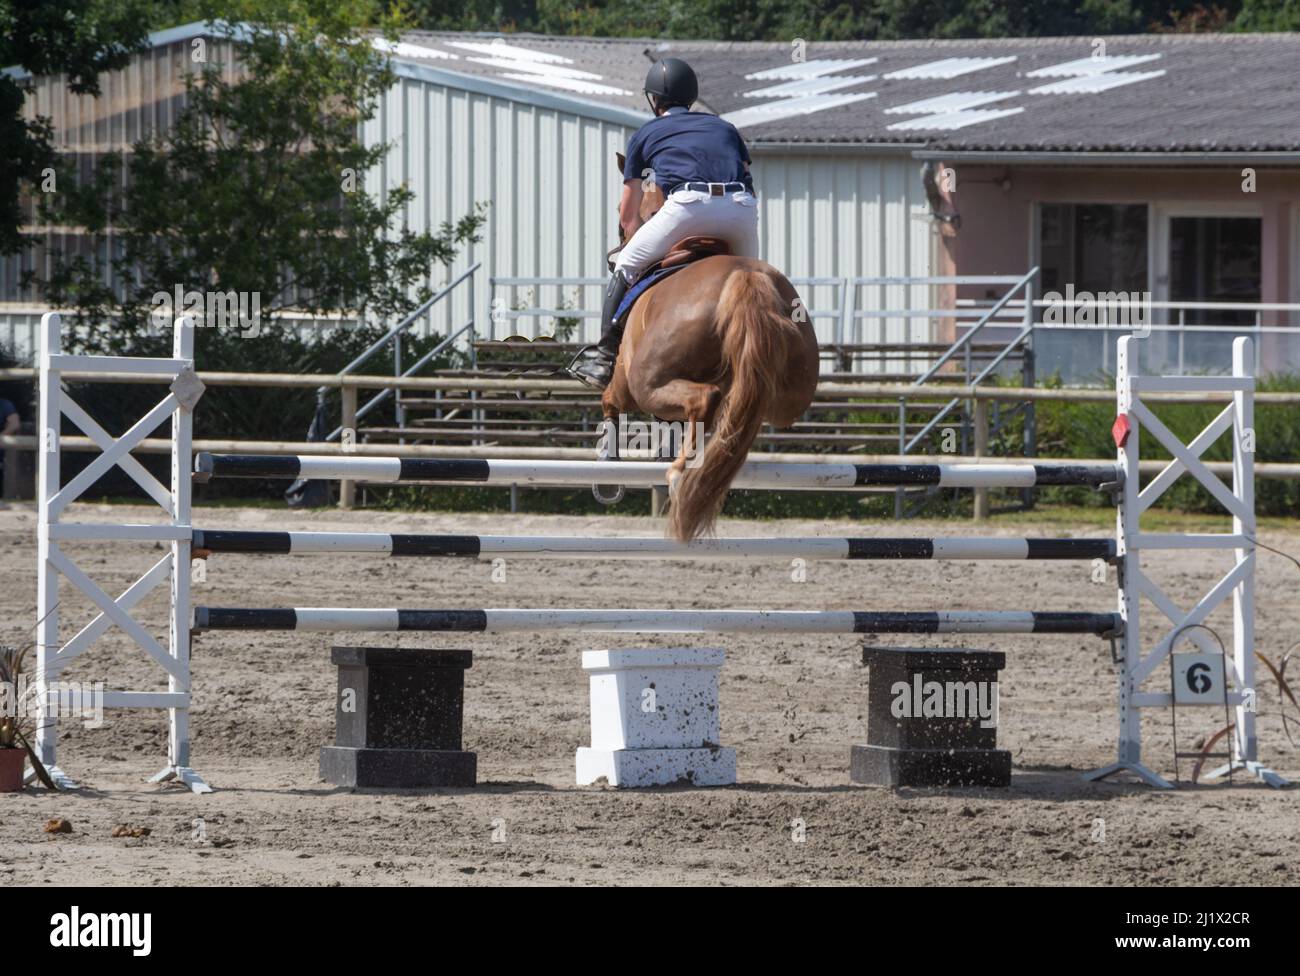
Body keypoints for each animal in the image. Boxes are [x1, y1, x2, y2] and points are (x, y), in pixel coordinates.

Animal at [603, 162, 816, 543]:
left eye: (619, 211)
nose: (615, 257)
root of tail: (744, 279)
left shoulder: (624, 385)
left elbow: (609, 402)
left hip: (645, 383)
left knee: (703, 400)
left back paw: (679, 472)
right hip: (787, 394)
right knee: (733, 413)